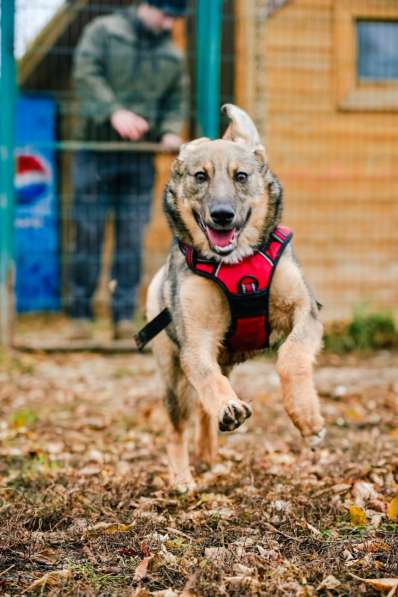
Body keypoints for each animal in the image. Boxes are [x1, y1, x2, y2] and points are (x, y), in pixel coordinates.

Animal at [138, 105, 324, 492]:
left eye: (241, 176)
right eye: (200, 176)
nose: (222, 215)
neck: (238, 266)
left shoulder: (305, 311)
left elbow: (291, 357)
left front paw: (307, 419)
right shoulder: (196, 344)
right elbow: (209, 381)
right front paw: (228, 407)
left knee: (202, 410)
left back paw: (209, 452)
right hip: (173, 376)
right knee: (177, 425)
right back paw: (182, 477)